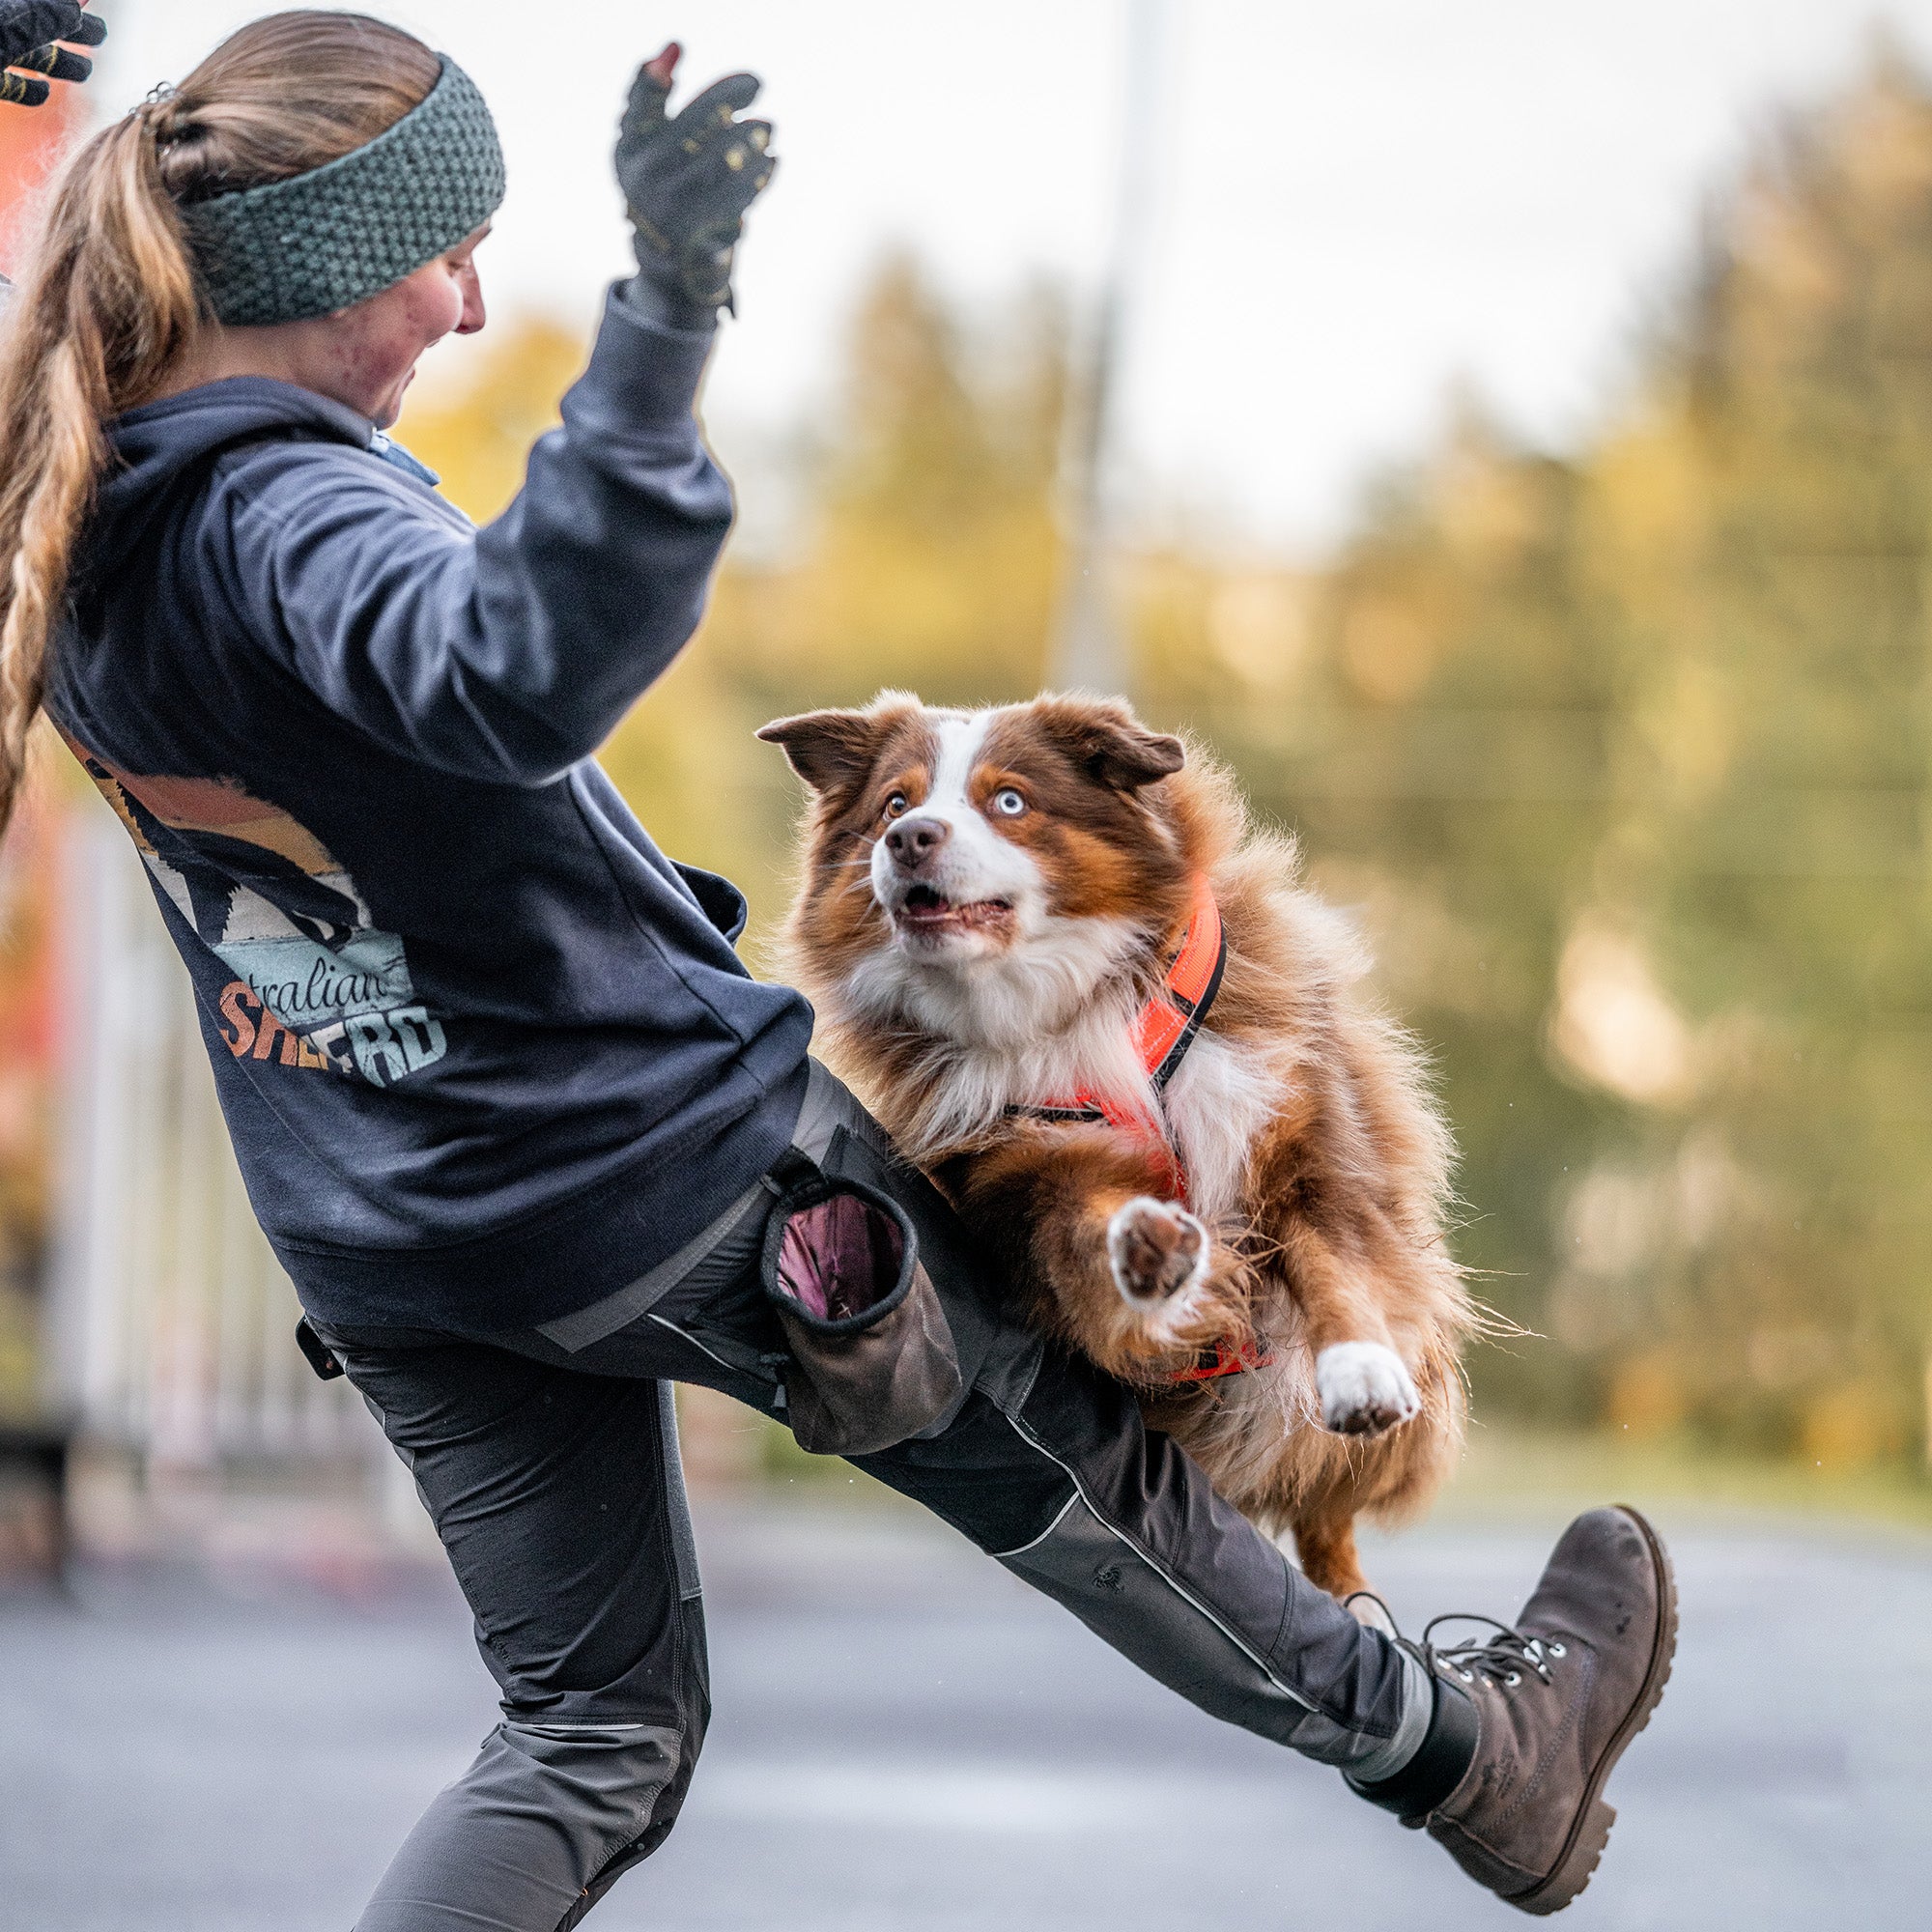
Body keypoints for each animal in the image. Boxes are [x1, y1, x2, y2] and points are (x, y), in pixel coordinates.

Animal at [753, 696, 1461, 1600]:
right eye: (894, 805)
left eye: (1009, 801)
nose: (909, 839)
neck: (1062, 1007)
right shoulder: (1026, 1170)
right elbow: (1083, 1238)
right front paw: (1149, 1256)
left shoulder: (1303, 1141)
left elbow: (1337, 1266)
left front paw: (1360, 1372)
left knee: (1325, 1508)